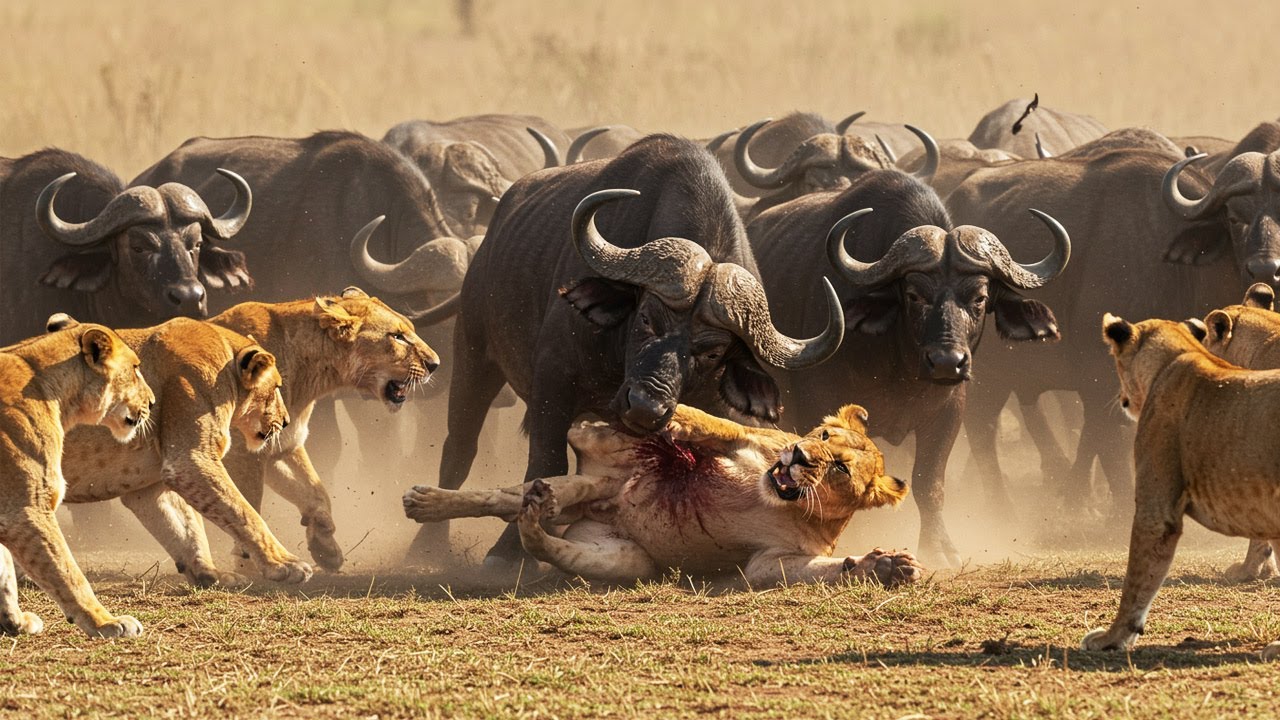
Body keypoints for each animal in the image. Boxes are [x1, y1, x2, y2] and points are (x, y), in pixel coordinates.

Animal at [0, 321, 154, 638]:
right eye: (135, 368)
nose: (154, 402)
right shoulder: (27, 511)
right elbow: (69, 575)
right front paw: (107, 623)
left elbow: (5, 572)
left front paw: (15, 621)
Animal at [404, 403, 923, 586]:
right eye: (822, 434)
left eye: (840, 467)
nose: (798, 454)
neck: (775, 496)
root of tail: (602, 503)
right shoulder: (749, 437)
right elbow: (714, 422)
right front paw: (669, 418)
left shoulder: (772, 560)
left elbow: (822, 570)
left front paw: (887, 566)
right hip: (595, 475)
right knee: (497, 500)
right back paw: (425, 502)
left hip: (626, 559)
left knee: (544, 540)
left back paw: (538, 514)